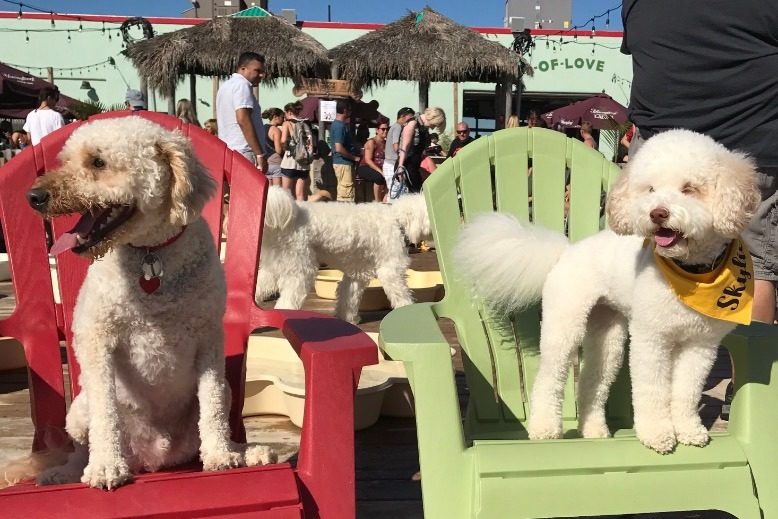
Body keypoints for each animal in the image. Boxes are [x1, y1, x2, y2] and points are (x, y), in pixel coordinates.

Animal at [9, 119, 272, 492]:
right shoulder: (96, 340)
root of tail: (152, 460)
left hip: (227, 389)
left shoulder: (208, 338)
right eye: (66, 160)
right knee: (81, 448)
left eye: (98, 162)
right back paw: (63, 473)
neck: (150, 252)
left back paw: (247, 451)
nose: (34, 197)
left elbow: (212, 407)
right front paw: (106, 467)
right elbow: (106, 411)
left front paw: (221, 454)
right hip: (78, 411)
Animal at [260, 187, 430, 324]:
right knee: (287, 301)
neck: (397, 220)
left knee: (261, 286)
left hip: (277, 265)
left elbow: (349, 299)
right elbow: (402, 296)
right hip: (300, 269)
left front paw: (348, 319)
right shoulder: (390, 271)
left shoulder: (356, 274)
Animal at [454, 131, 756, 456]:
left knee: (591, 380)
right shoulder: (651, 338)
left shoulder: (701, 345)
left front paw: (689, 430)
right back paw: (545, 429)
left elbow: (686, 391)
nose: (657, 213)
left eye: (690, 188)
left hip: (607, 332)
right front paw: (658, 434)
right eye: (650, 189)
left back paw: (593, 430)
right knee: (549, 379)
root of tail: (565, 252)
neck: (691, 274)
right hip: (565, 323)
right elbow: (652, 390)